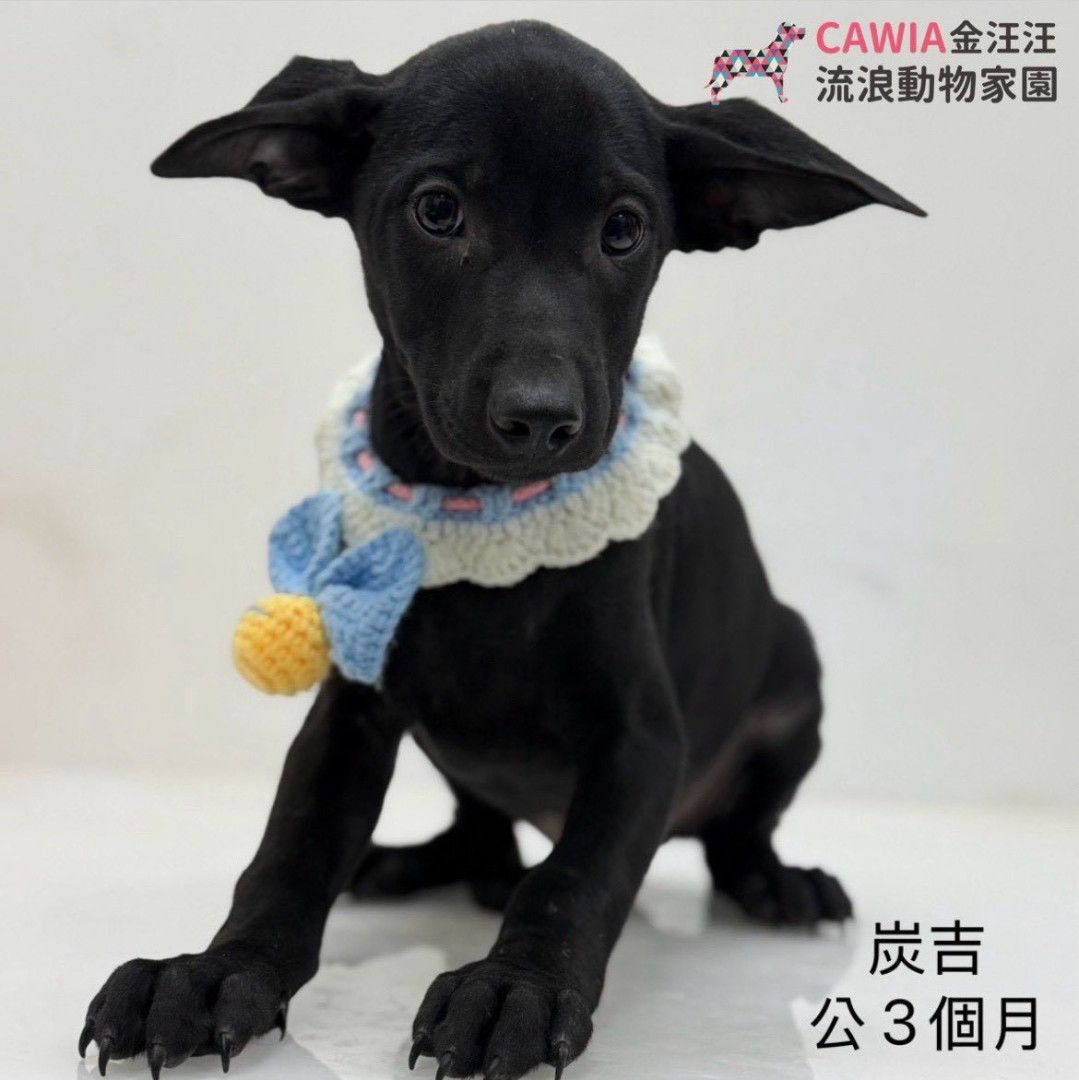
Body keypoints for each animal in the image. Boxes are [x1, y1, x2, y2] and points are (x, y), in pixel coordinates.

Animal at [80, 20, 923, 1080]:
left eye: (623, 229)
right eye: (438, 210)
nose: (539, 419)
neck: (483, 519)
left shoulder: (642, 740)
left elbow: (572, 879)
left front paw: (517, 989)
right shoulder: (353, 708)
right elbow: (290, 847)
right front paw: (216, 972)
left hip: (793, 679)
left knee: (728, 838)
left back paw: (776, 883)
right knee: (479, 832)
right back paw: (410, 862)